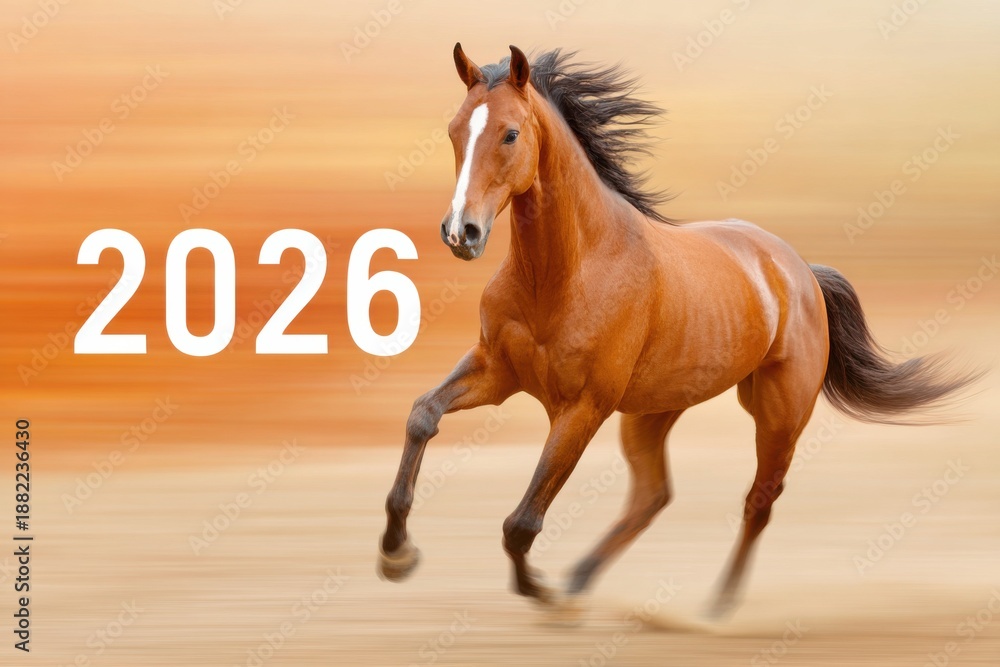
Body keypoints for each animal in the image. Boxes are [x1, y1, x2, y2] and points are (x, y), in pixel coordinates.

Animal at [377, 43, 979, 617]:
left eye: (510, 133)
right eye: (454, 130)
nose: (462, 233)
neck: (566, 272)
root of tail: (800, 270)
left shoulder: (581, 409)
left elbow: (522, 521)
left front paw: (541, 596)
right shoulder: (497, 372)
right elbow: (422, 415)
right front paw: (396, 554)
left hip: (779, 415)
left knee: (758, 501)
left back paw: (713, 608)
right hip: (653, 412)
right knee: (653, 496)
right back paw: (581, 580)